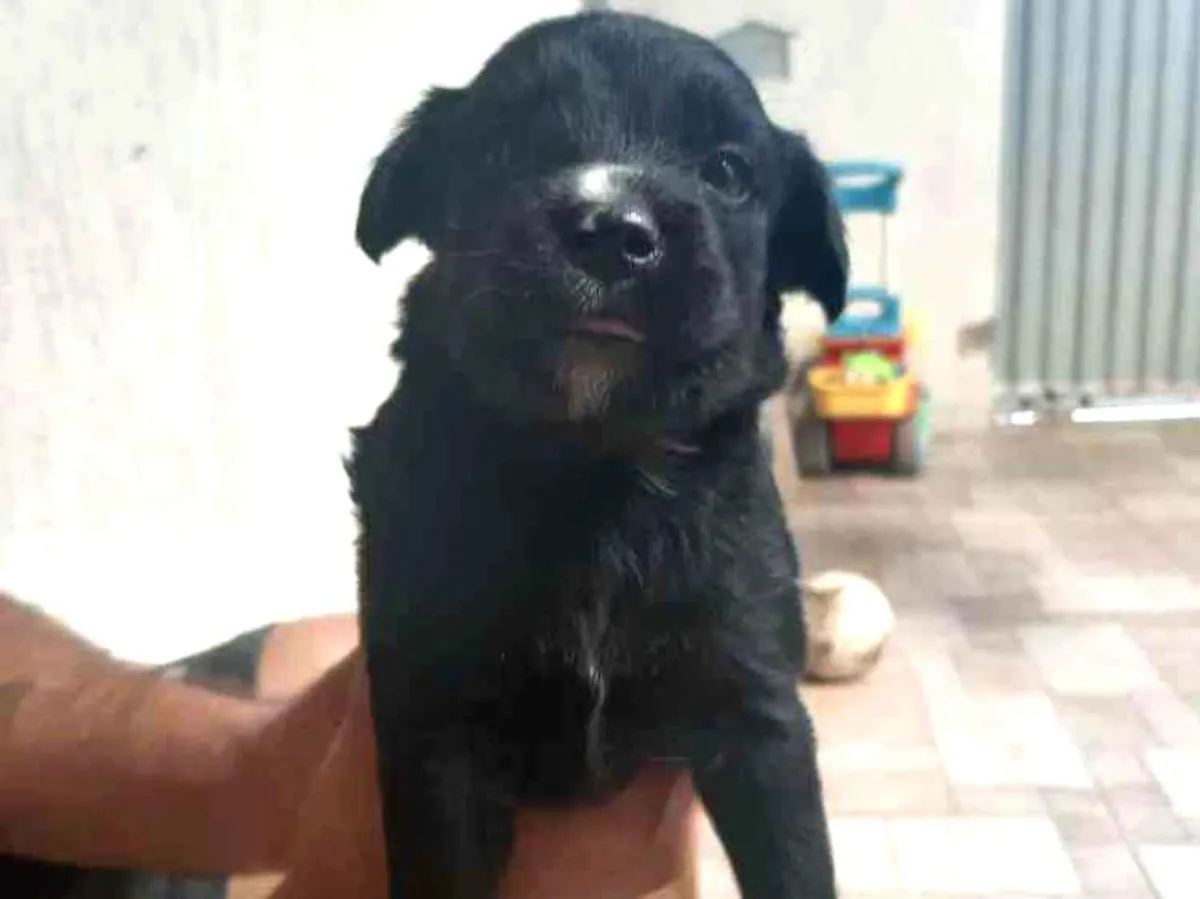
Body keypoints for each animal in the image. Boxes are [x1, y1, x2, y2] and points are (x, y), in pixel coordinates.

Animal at [348, 11, 848, 899]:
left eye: (727, 171)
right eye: (505, 146)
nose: (614, 230)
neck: (595, 466)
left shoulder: (756, 706)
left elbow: (796, 863)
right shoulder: (436, 721)